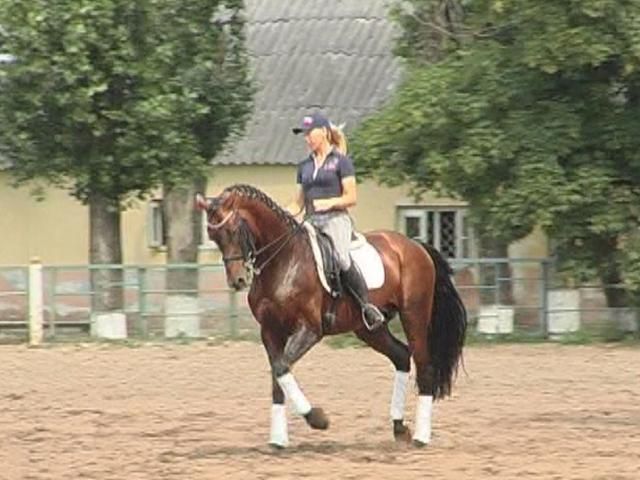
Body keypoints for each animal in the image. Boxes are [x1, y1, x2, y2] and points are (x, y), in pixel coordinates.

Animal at [195, 185, 464, 450]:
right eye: (212, 236)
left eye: (232, 230)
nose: (237, 281)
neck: (283, 261)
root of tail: (415, 246)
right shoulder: (270, 331)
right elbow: (277, 373)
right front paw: (278, 439)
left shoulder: (309, 330)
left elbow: (281, 367)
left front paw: (317, 419)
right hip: (368, 328)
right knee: (400, 355)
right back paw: (399, 428)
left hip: (414, 316)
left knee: (424, 364)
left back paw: (421, 437)